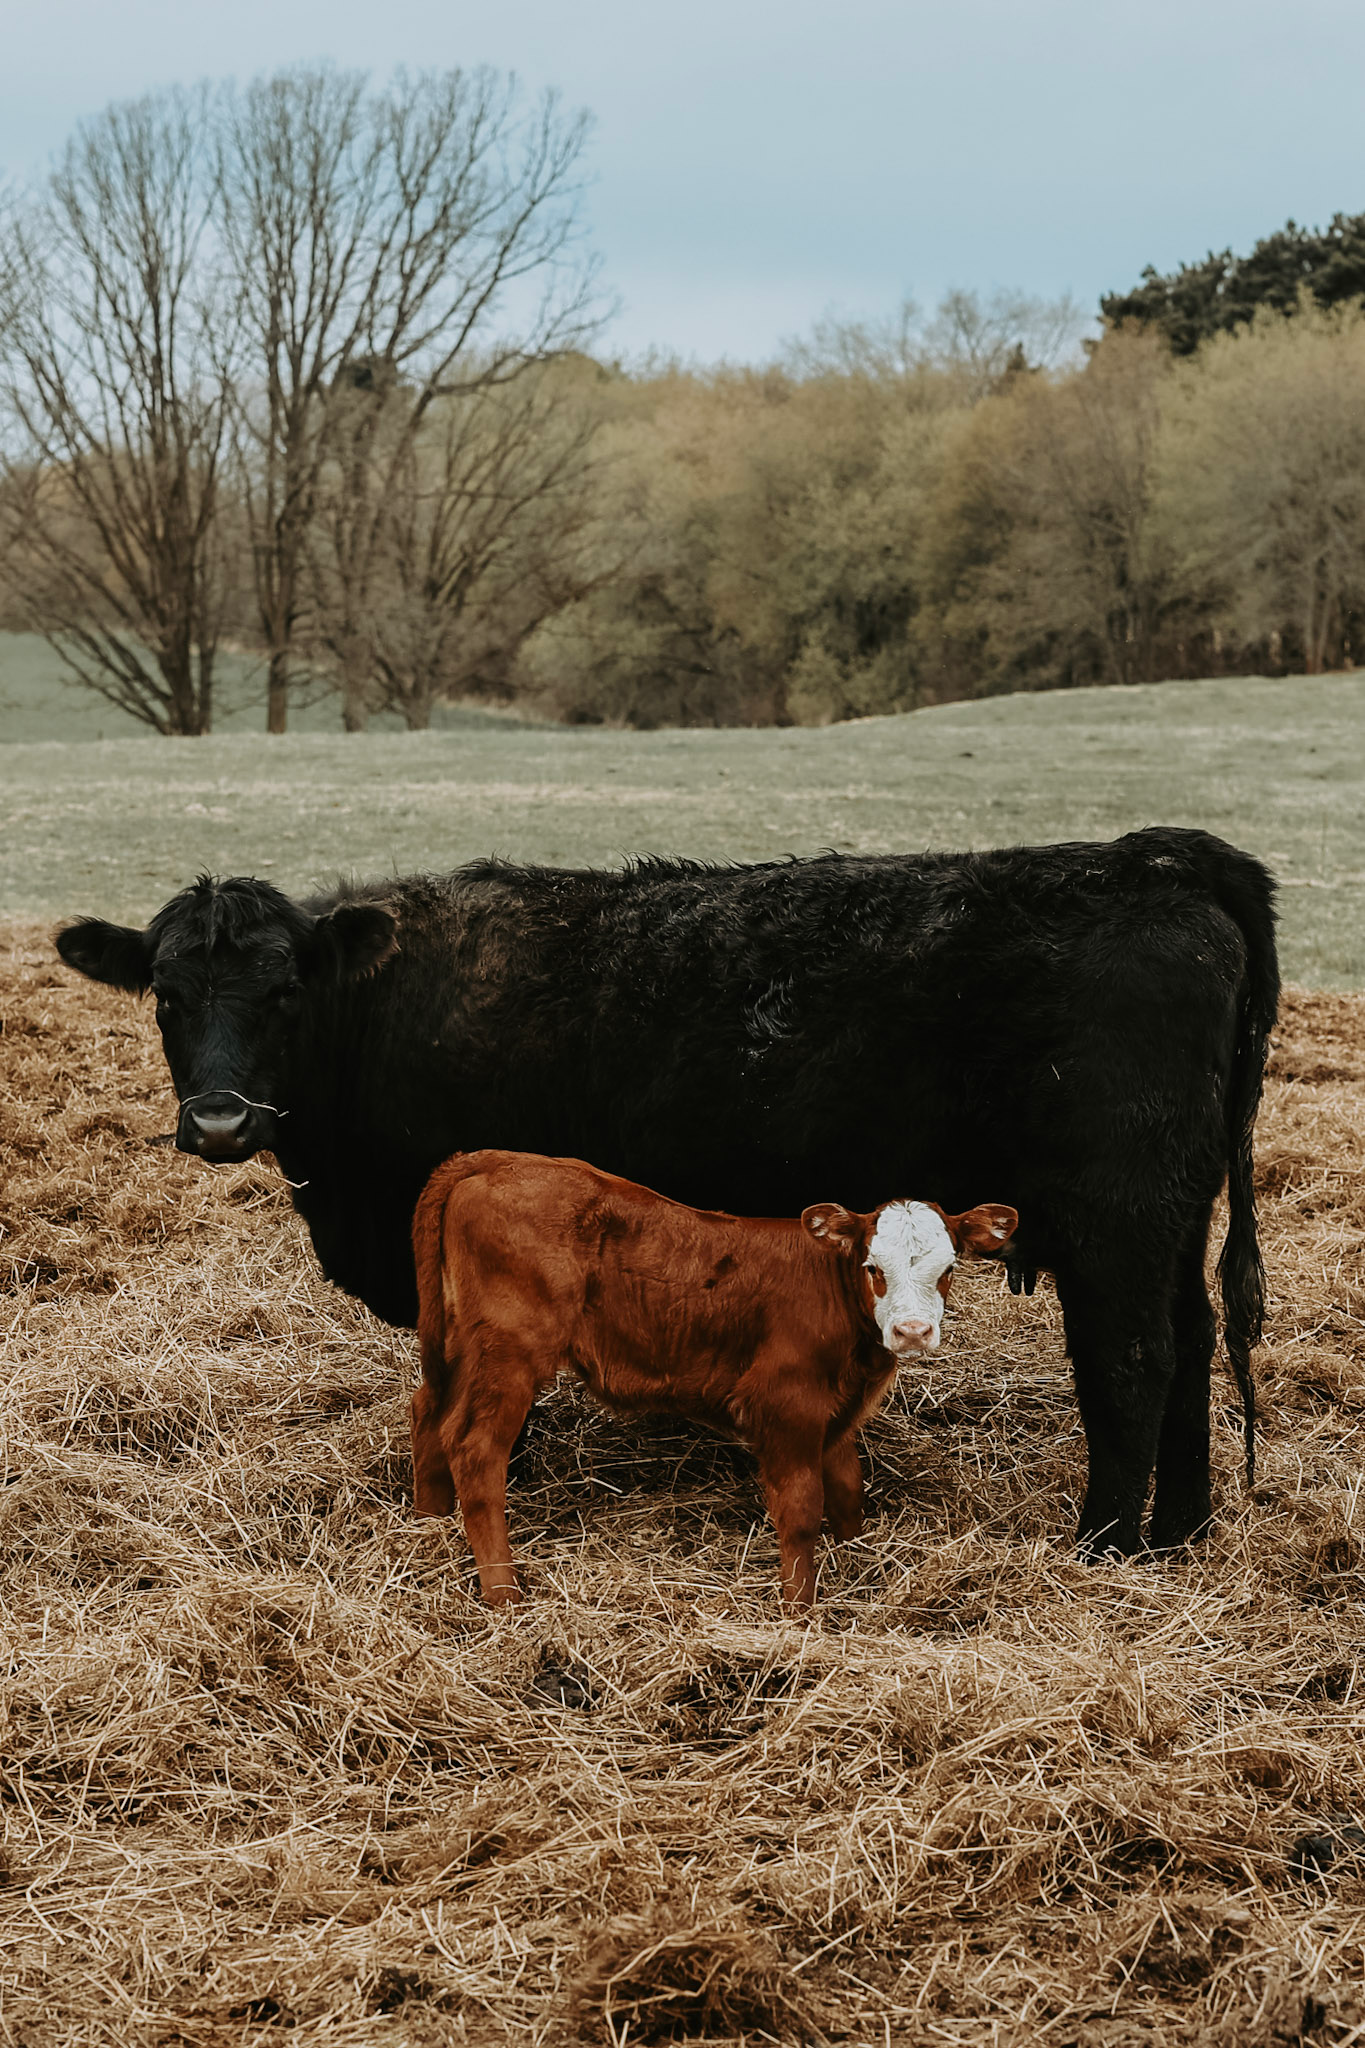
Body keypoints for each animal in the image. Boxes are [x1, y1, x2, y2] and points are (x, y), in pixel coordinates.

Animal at [54, 826, 1278, 1556]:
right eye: (165, 992)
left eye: (284, 991)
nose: (221, 1120)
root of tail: (1151, 858)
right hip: (1170, 1217)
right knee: (1189, 1343)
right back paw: (1180, 1531)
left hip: (1117, 1219)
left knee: (1133, 1358)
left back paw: (1103, 1544)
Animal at [410, 1149, 1020, 1605]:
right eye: (873, 1267)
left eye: (948, 1268)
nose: (913, 1331)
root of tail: (497, 1159)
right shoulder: (786, 1402)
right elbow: (802, 1509)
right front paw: (800, 1609)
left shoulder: (836, 1411)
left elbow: (848, 1491)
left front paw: (859, 1558)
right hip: (510, 1350)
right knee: (475, 1448)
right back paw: (503, 1592)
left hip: (460, 1346)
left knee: (427, 1411)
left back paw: (425, 1526)